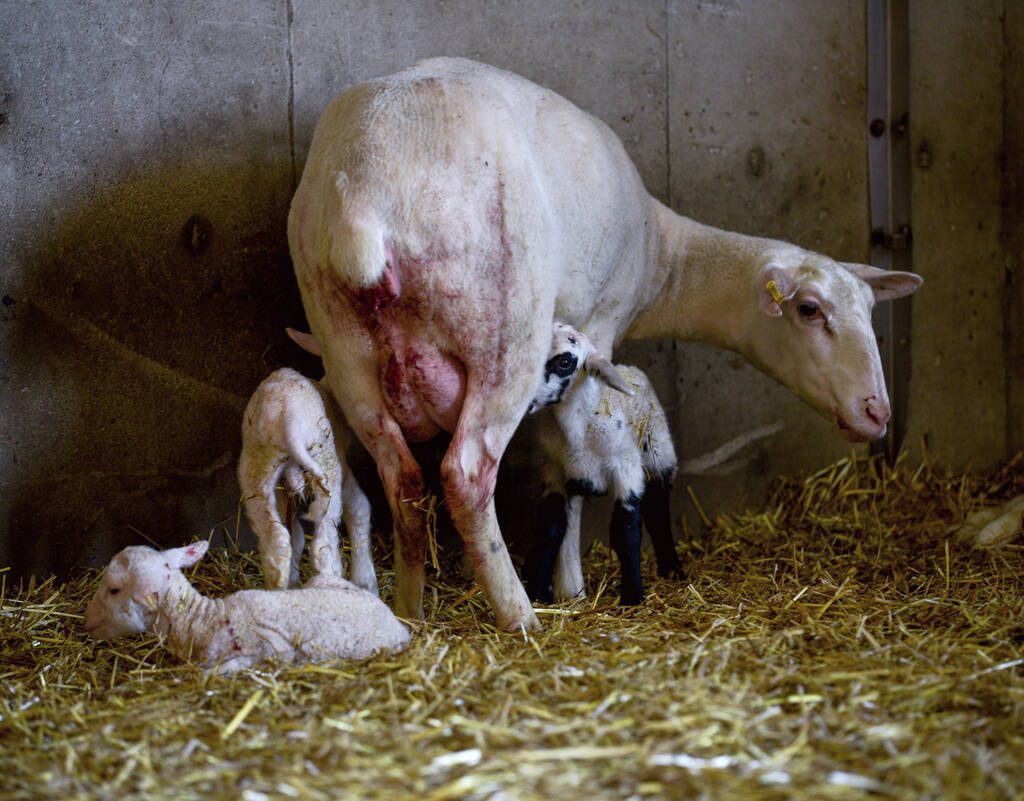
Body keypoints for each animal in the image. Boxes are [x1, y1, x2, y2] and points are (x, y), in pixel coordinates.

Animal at [82, 540, 411, 674]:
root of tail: (396, 622)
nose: (86, 622)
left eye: (113, 589)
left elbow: (205, 675)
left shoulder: (272, 650)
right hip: (322, 580)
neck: (203, 621)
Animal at [238, 367, 376, 595]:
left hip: (257, 475)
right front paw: (366, 581)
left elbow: (296, 537)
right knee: (323, 547)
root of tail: (287, 420)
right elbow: (359, 508)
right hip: (326, 463)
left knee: (277, 542)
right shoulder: (343, 471)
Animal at [523, 323, 681, 606]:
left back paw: (672, 568)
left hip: (657, 449)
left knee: (658, 504)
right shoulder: (555, 470)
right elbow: (551, 527)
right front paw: (538, 593)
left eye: (565, 362)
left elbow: (626, 529)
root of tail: (629, 368)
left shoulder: (626, 468)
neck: (578, 428)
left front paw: (633, 597)